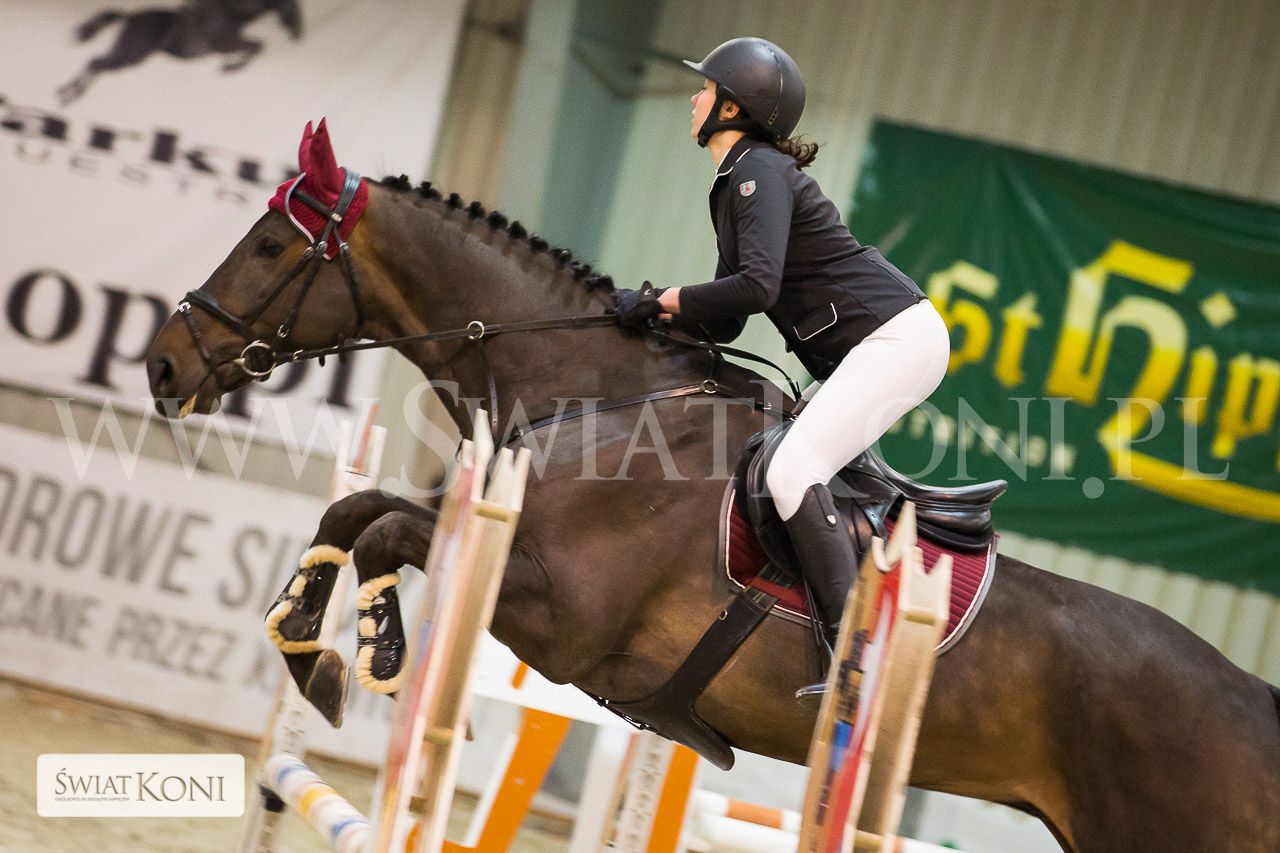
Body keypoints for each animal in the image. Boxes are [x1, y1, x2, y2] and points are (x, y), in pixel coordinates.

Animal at [59, 0, 302, 105]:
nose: (297, 32)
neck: (231, 11)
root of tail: (129, 17)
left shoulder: (229, 42)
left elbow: (256, 46)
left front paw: (229, 66)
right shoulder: (224, 43)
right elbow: (256, 47)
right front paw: (229, 67)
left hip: (131, 55)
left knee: (96, 64)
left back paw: (68, 93)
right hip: (131, 52)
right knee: (95, 63)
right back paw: (69, 95)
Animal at [144, 127, 1280, 852]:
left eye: (271, 243)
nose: (162, 365)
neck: (593, 397)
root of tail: (1253, 702)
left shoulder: (556, 614)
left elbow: (387, 532)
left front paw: (370, 648)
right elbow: (357, 510)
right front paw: (309, 643)